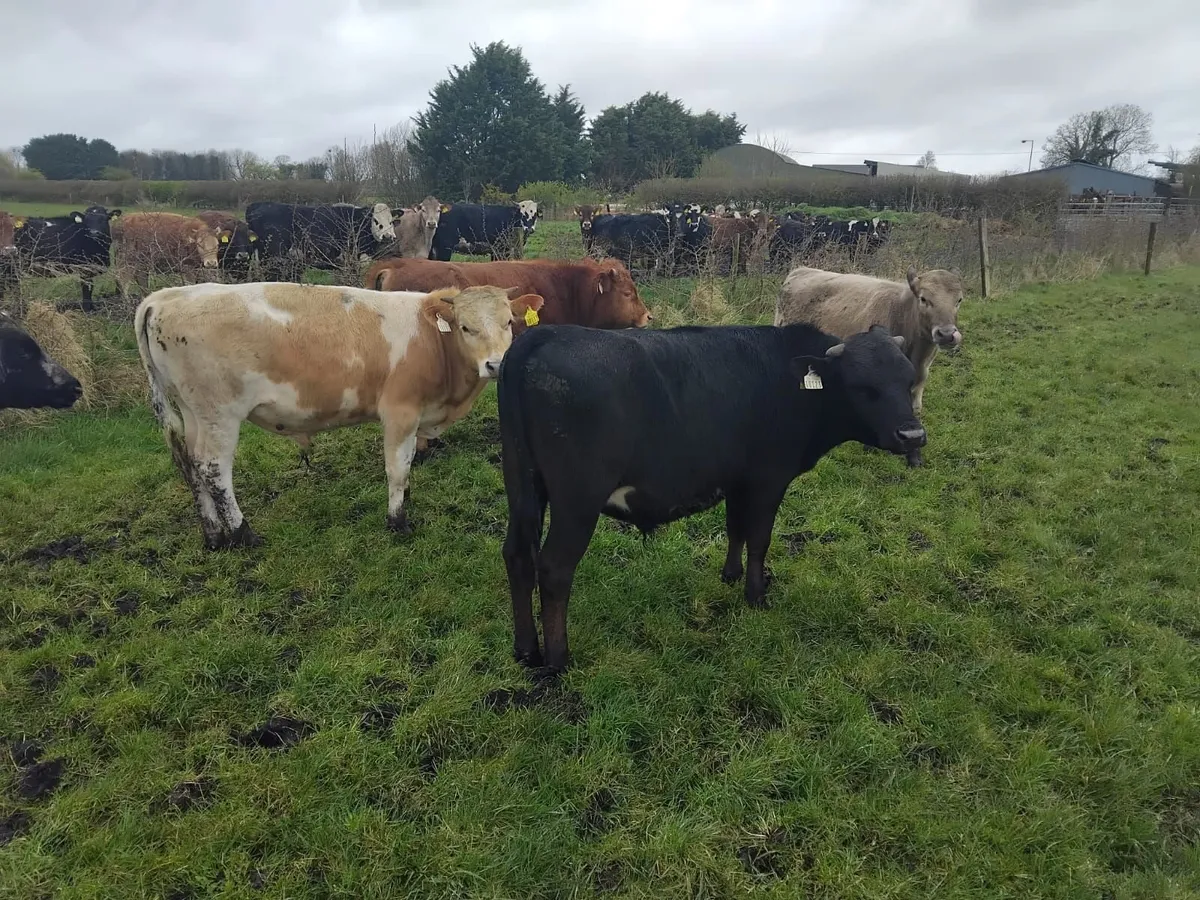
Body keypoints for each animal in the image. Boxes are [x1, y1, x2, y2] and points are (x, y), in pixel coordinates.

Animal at [135, 281, 544, 549]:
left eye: (509, 322)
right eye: (465, 326)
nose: (495, 364)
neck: (432, 340)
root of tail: (164, 297)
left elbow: (408, 462)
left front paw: (406, 498)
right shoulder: (400, 411)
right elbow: (398, 467)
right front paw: (398, 520)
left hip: (193, 412)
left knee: (190, 464)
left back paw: (213, 534)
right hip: (219, 412)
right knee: (213, 469)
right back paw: (241, 533)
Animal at [498, 322, 925, 672]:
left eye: (908, 381)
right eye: (863, 387)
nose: (913, 436)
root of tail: (546, 334)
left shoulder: (738, 480)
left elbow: (736, 528)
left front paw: (730, 576)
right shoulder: (769, 480)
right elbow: (759, 538)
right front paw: (756, 595)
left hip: (521, 485)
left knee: (517, 555)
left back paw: (525, 649)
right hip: (577, 499)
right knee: (554, 567)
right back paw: (558, 659)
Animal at [774, 265, 963, 467]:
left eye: (959, 300)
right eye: (924, 299)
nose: (947, 334)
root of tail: (801, 270)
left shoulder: (918, 381)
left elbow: (915, 409)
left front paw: (914, 457)